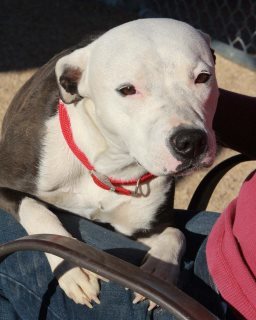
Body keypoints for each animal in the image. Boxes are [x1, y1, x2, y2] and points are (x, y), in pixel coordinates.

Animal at [0, 18, 218, 308]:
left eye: (203, 77)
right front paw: (75, 267)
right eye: (127, 90)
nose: (191, 142)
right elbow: (37, 210)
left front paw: (159, 273)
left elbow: (176, 233)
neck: (108, 167)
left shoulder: (145, 228)